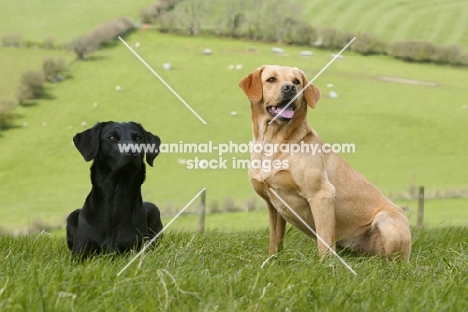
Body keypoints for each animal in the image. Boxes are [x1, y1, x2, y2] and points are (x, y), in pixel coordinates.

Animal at [66, 122, 164, 258]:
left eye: (138, 138)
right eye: (112, 137)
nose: (132, 151)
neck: (117, 191)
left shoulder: (135, 249)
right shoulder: (80, 252)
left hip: (154, 210)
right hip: (72, 216)